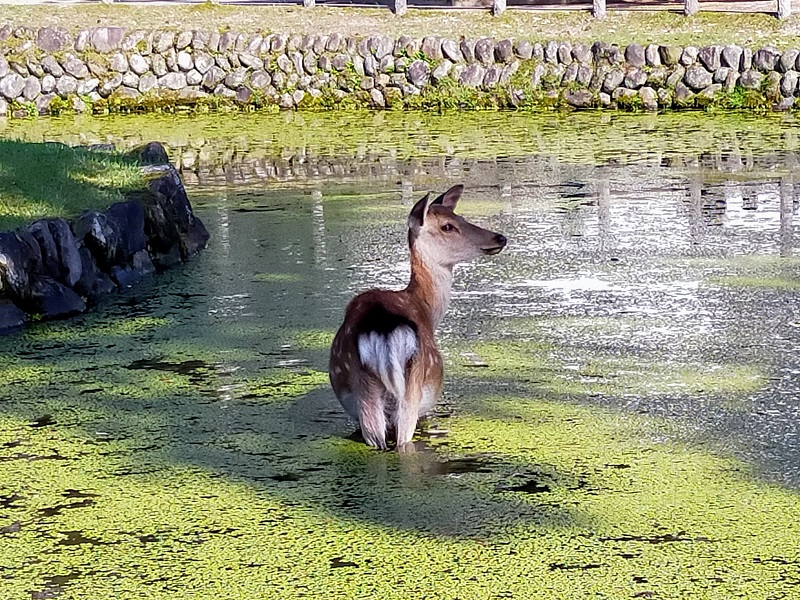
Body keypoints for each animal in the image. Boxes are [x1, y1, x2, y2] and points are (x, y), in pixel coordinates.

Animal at [330, 185, 506, 452]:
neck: (426, 310)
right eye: (447, 226)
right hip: (412, 389)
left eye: (460, 217)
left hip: (364, 389)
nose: (500, 238)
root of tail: (383, 327)